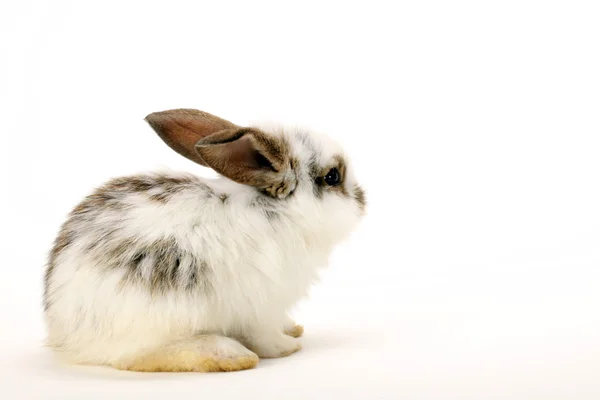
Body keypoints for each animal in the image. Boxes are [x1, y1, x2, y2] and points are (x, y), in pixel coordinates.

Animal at [43, 108, 366, 372]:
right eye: (333, 177)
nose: (362, 201)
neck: (276, 211)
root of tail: (64, 333)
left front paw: (292, 330)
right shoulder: (261, 307)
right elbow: (265, 336)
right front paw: (287, 347)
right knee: (135, 356)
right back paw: (229, 354)